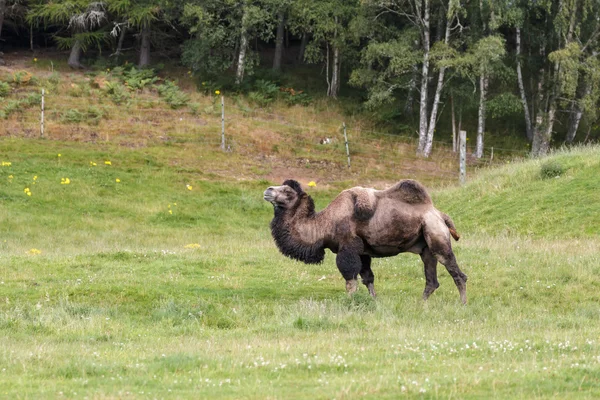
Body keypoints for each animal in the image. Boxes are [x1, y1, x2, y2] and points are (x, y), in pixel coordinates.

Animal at [264, 178, 468, 304]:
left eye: (287, 191)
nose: (268, 190)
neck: (325, 224)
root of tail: (440, 214)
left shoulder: (348, 247)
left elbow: (350, 278)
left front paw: (350, 303)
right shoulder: (362, 252)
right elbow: (368, 278)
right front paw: (374, 301)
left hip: (436, 233)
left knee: (456, 272)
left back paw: (462, 304)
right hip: (426, 246)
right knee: (432, 280)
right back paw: (420, 304)